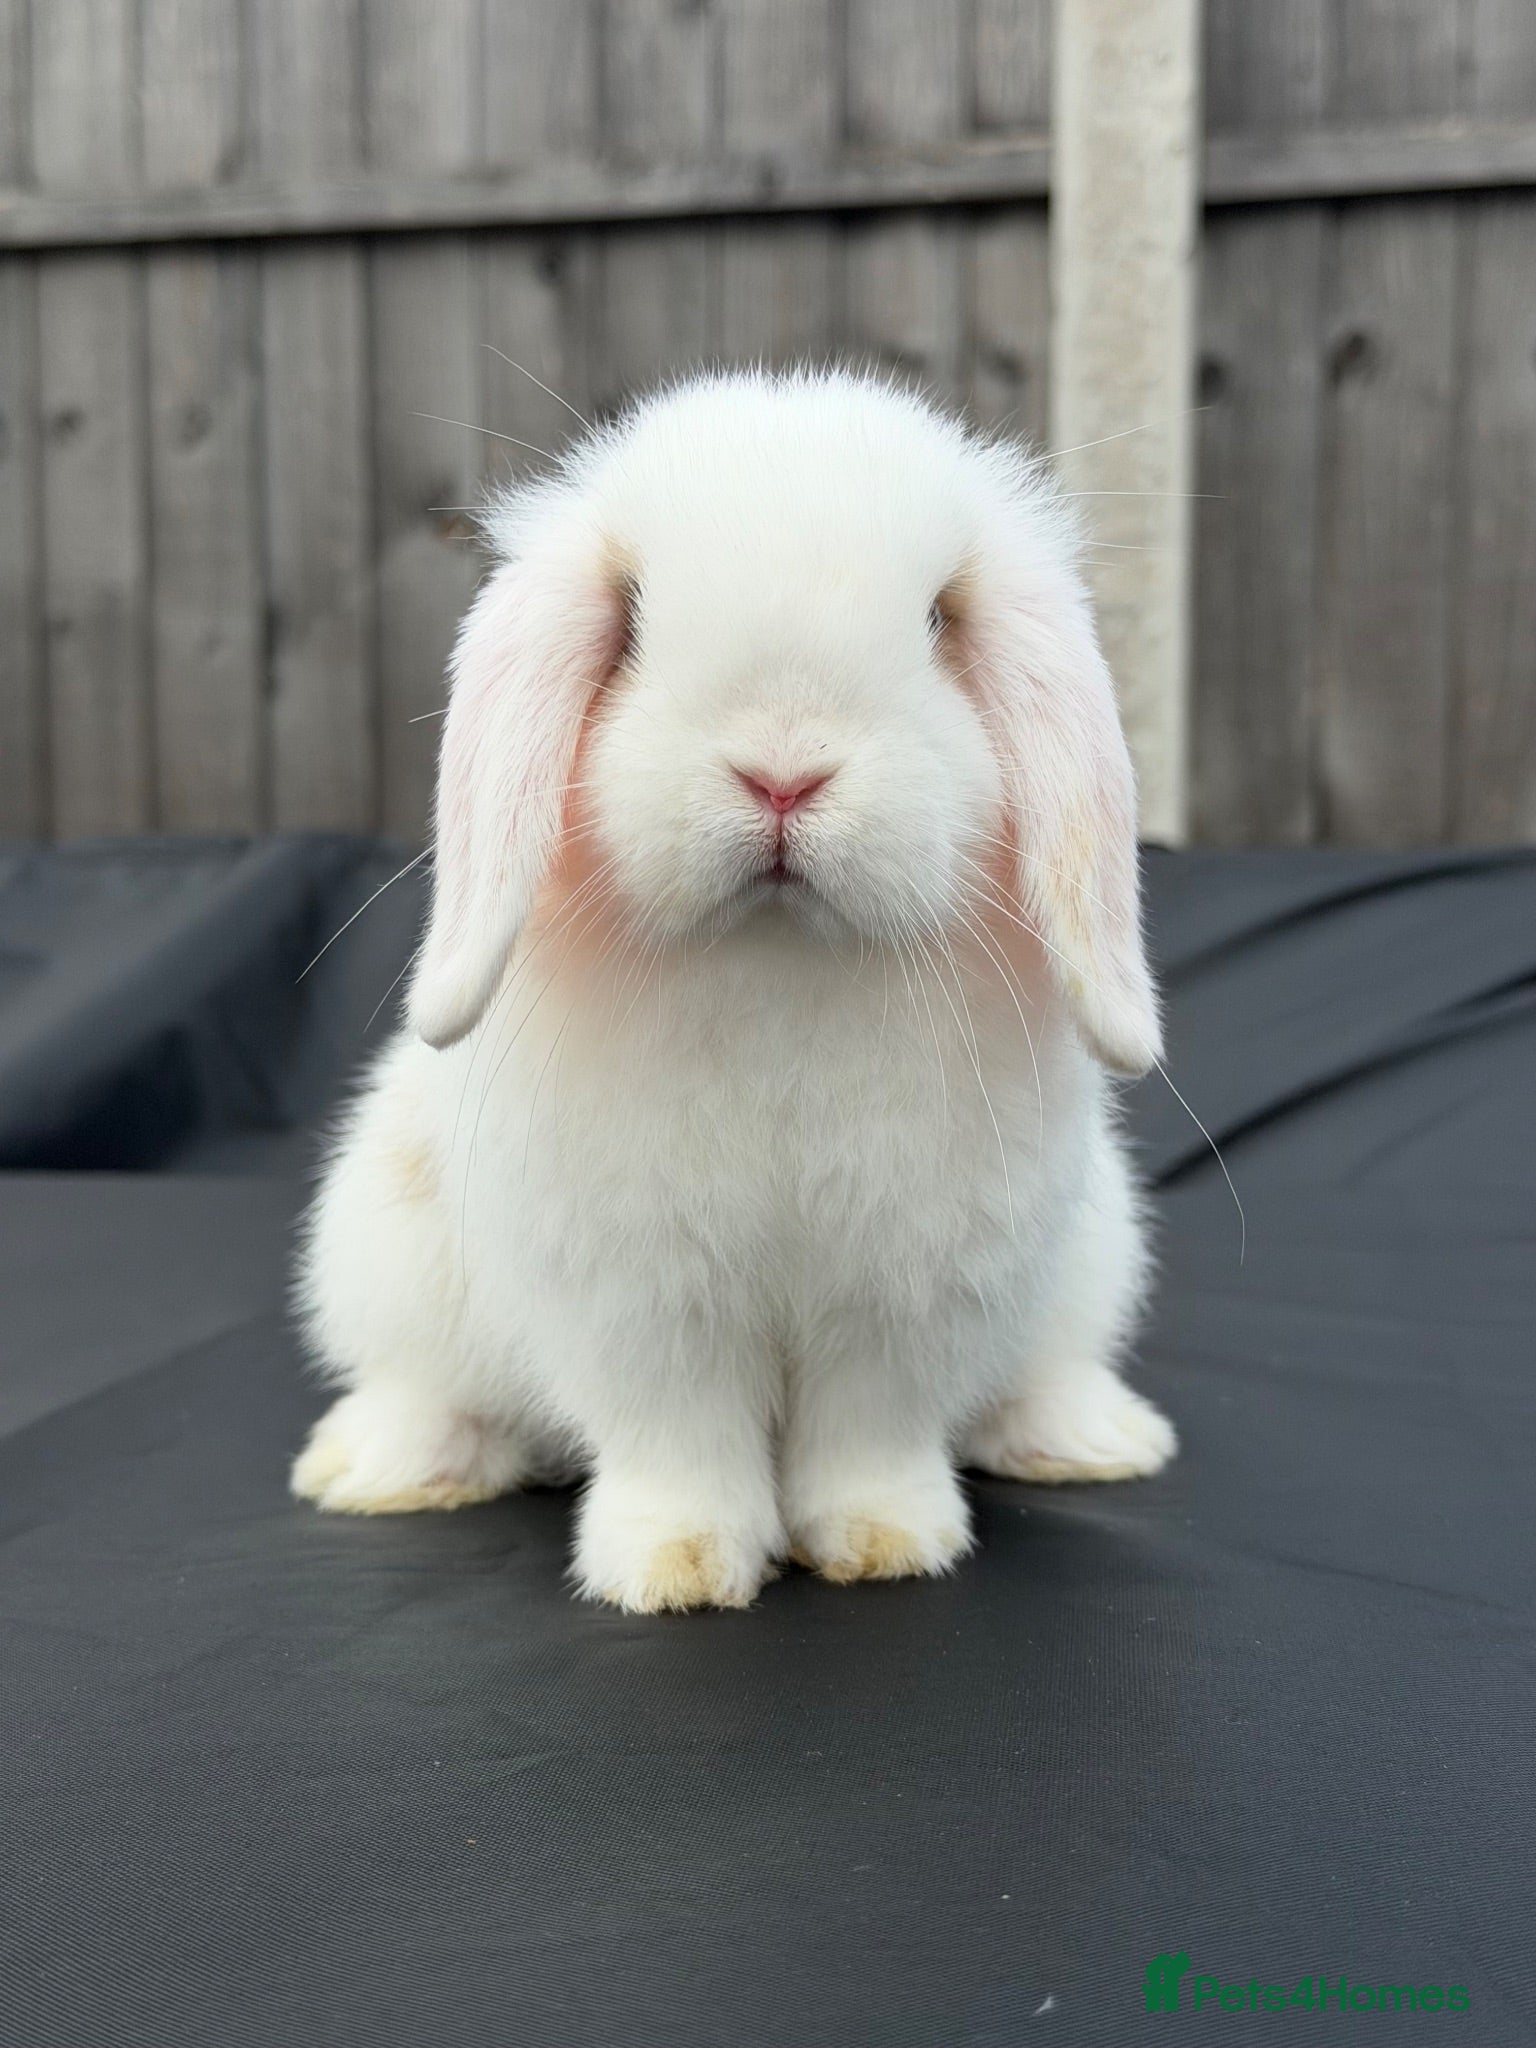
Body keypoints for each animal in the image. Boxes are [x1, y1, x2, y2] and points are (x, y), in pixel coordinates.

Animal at [291, 367, 1176, 1612]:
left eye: (939, 619)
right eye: (633, 619)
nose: (783, 772)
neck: (778, 959)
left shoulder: (909, 1291)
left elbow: (870, 1434)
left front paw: (886, 1545)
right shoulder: (646, 1298)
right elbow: (679, 1437)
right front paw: (679, 1569)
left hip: (1091, 1259)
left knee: (1041, 1374)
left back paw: (1092, 1441)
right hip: (382, 1255)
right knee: (422, 1386)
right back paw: (383, 1469)